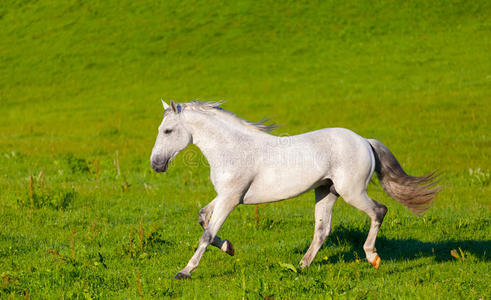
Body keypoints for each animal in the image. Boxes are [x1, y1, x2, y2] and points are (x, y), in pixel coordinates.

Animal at [151, 100, 442, 278]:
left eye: (167, 131)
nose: (156, 164)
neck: (233, 149)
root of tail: (364, 141)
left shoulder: (231, 199)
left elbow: (206, 233)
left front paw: (185, 271)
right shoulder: (226, 196)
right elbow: (203, 218)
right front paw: (230, 248)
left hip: (352, 191)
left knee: (379, 211)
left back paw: (372, 257)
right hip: (326, 191)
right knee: (322, 231)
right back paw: (301, 266)